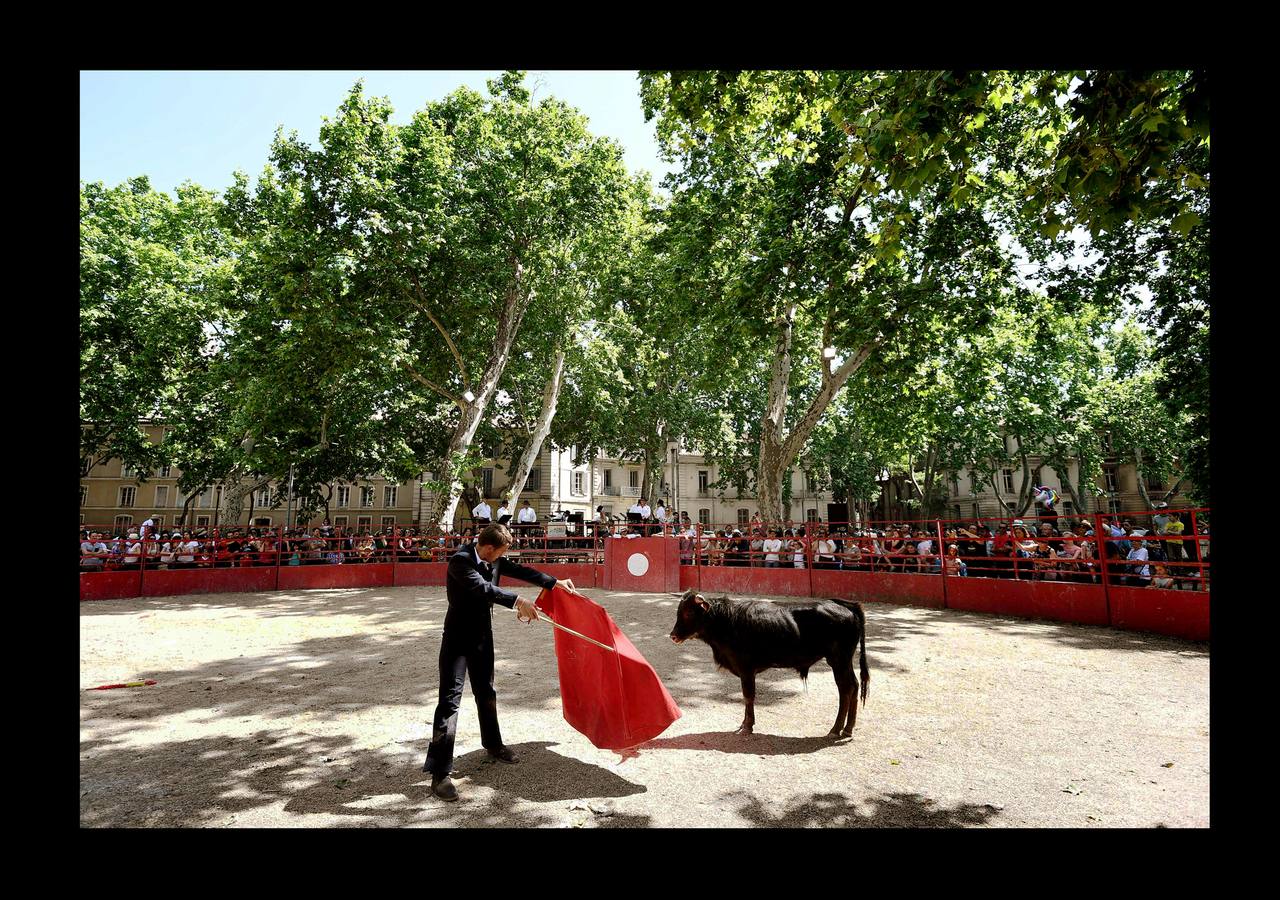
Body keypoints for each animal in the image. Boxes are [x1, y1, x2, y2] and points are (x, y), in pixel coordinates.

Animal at [670, 591, 870, 737]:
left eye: (688, 612)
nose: (673, 635)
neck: (726, 621)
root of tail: (846, 606)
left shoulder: (746, 670)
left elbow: (748, 696)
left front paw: (747, 726)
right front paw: (744, 724)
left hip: (838, 660)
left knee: (845, 689)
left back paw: (835, 730)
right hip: (843, 661)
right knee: (854, 686)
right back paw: (847, 729)